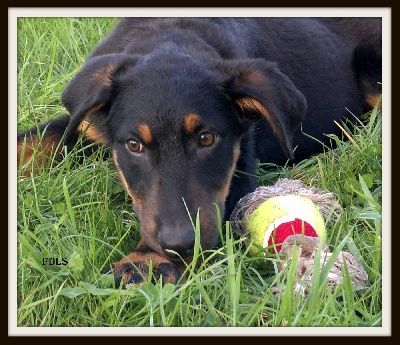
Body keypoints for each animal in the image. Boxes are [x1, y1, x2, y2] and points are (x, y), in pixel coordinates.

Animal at [18, 18, 382, 288]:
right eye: (134, 145)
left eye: (207, 139)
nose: (180, 245)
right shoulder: (84, 123)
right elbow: (34, 140)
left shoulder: (238, 167)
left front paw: (146, 262)